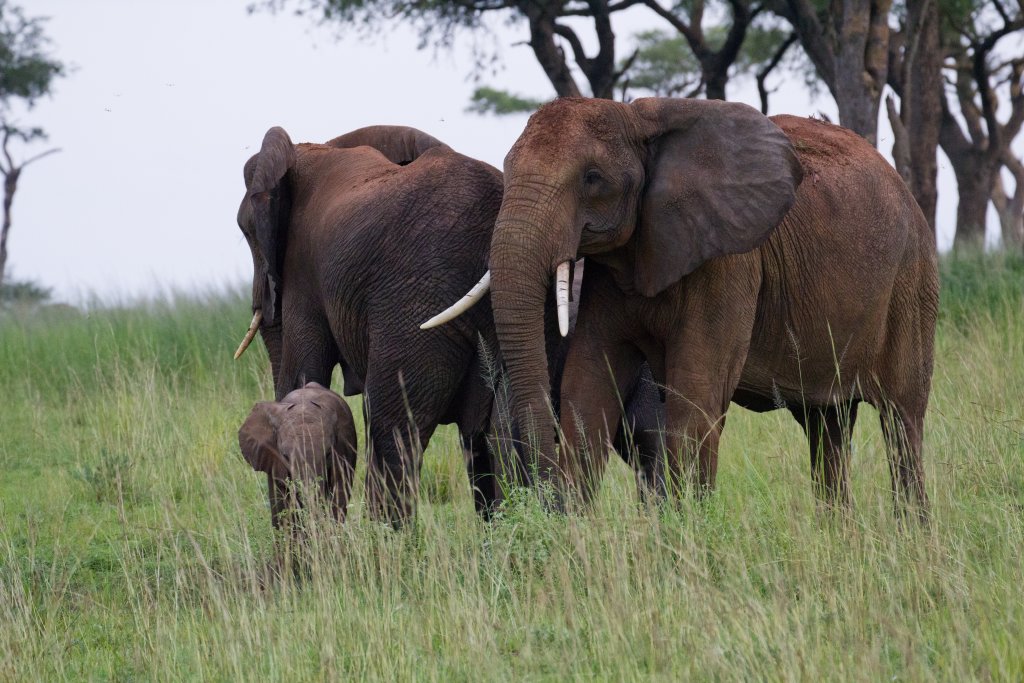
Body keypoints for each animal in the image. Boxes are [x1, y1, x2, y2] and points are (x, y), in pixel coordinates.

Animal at [432, 97, 939, 519]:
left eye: (592, 179)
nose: (540, 505)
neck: (639, 120)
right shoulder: (609, 274)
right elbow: (588, 385)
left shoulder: (731, 264)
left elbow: (695, 396)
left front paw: (684, 537)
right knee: (827, 425)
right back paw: (838, 536)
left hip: (912, 283)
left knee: (902, 421)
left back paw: (910, 539)